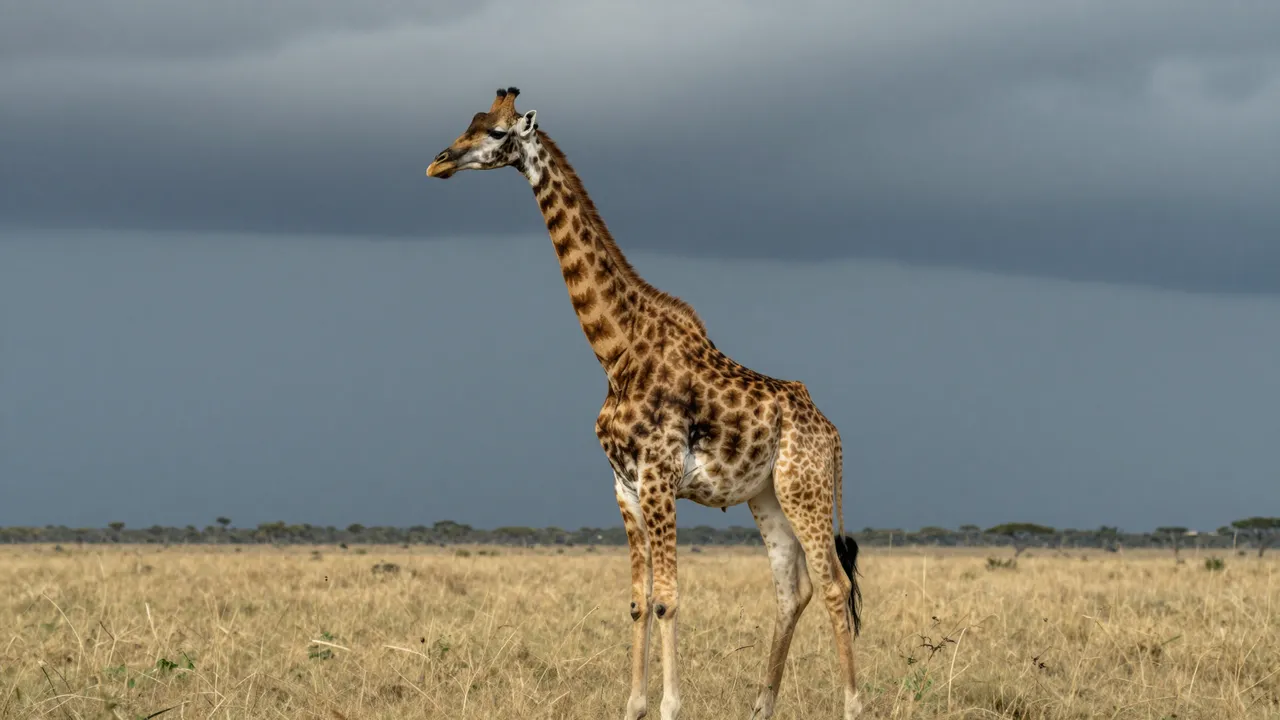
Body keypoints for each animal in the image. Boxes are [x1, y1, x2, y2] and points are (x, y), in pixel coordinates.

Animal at [425, 87, 863, 720]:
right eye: (470, 121)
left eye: (498, 133)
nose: (438, 162)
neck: (615, 350)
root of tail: (831, 434)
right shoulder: (624, 487)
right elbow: (638, 601)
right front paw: (632, 705)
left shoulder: (659, 479)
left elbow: (668, 599)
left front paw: (669, 705)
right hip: (767, 496)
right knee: (792, 588)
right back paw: (761, 706)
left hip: (806, 488)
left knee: (833, 584)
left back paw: (852, 703)